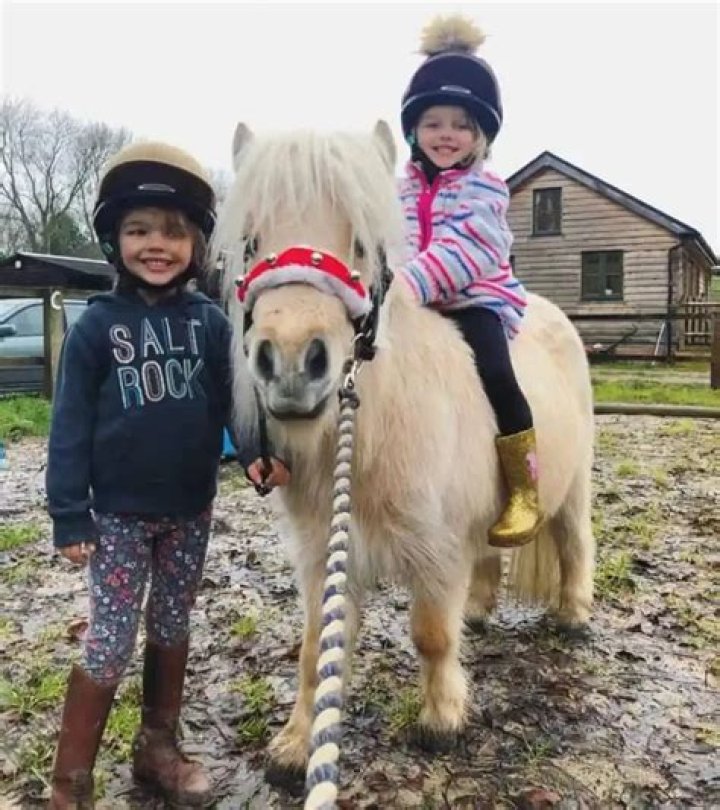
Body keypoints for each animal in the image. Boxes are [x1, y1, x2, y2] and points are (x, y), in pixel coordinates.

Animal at [211, 120, 595, 781]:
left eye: (363, 245)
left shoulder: (437, 552)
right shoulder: (325, 554)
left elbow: (431, 635)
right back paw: (479, 610)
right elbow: (315, 651)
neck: (371, 435)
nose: (292, 364)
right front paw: (295, 745)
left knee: (573, 545)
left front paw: (441, 721)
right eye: (252, 240)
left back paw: (572, 617)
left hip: (569, 494)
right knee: (488, 557)